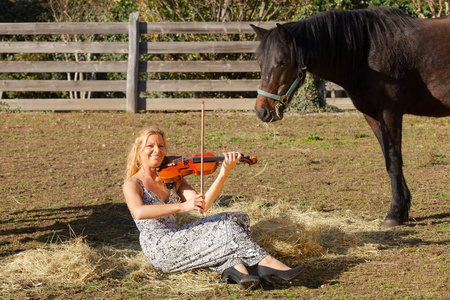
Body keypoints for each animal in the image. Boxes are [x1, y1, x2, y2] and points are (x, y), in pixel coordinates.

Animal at [251, 6, 448, 227]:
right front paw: (403, 209)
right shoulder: (372, 116)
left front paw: (394, 214)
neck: (368, 50)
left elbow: (394, 159)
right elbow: (388, 158)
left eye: (282, 61)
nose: (262, 110)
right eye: (259, 61)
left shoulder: (390, 112)